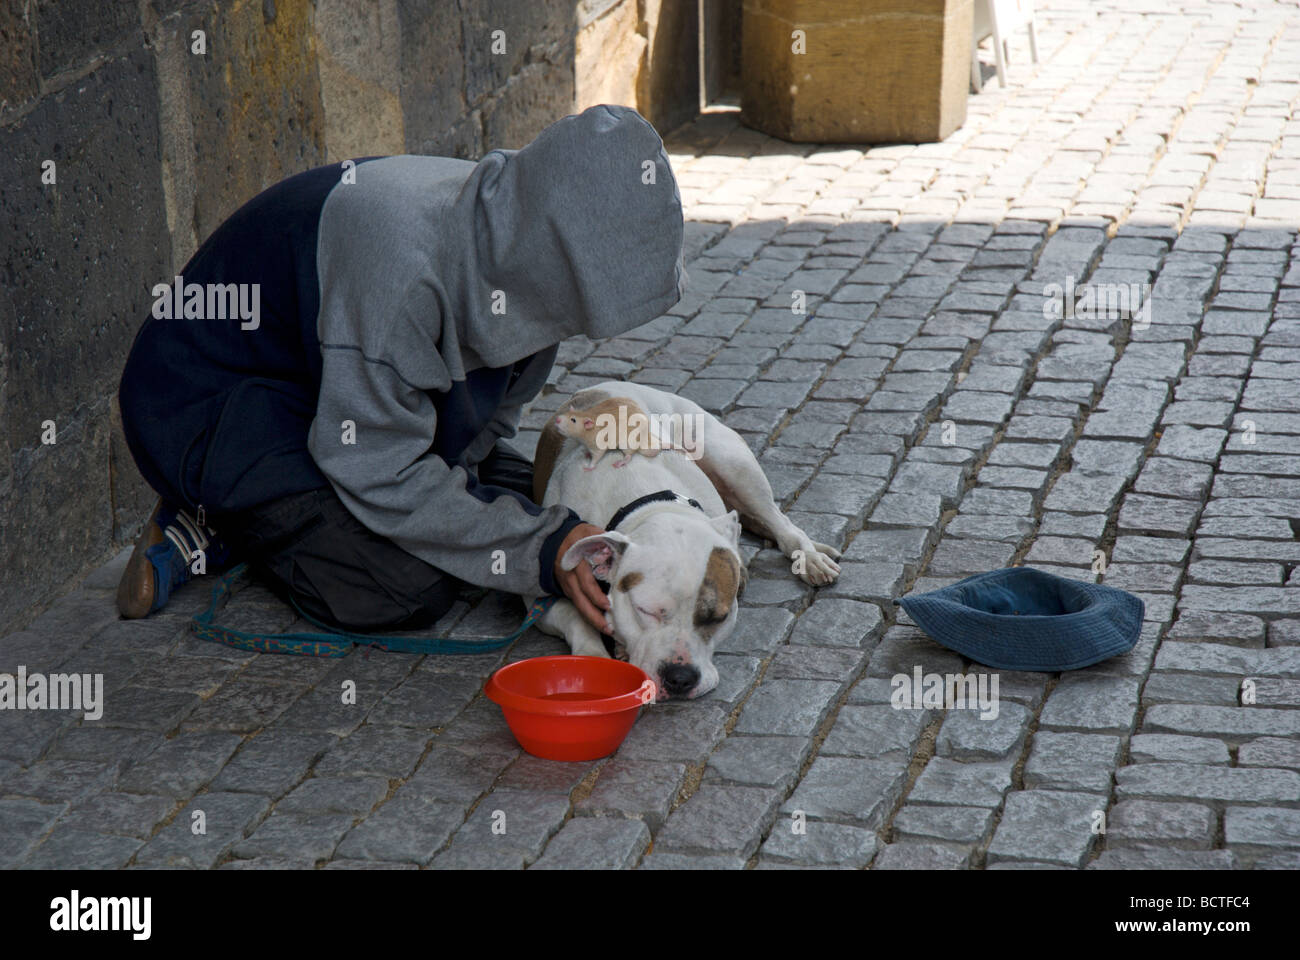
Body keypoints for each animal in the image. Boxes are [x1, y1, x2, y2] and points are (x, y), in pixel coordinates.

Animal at [527, 377, 842, 697]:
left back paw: (810, 557)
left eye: (718, 618)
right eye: (645, 611)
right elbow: (577, 620)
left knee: (781, 522)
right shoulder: (542, 597)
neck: (647, 501)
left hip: (732, 464)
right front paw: (595, 659)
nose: (680, 678)